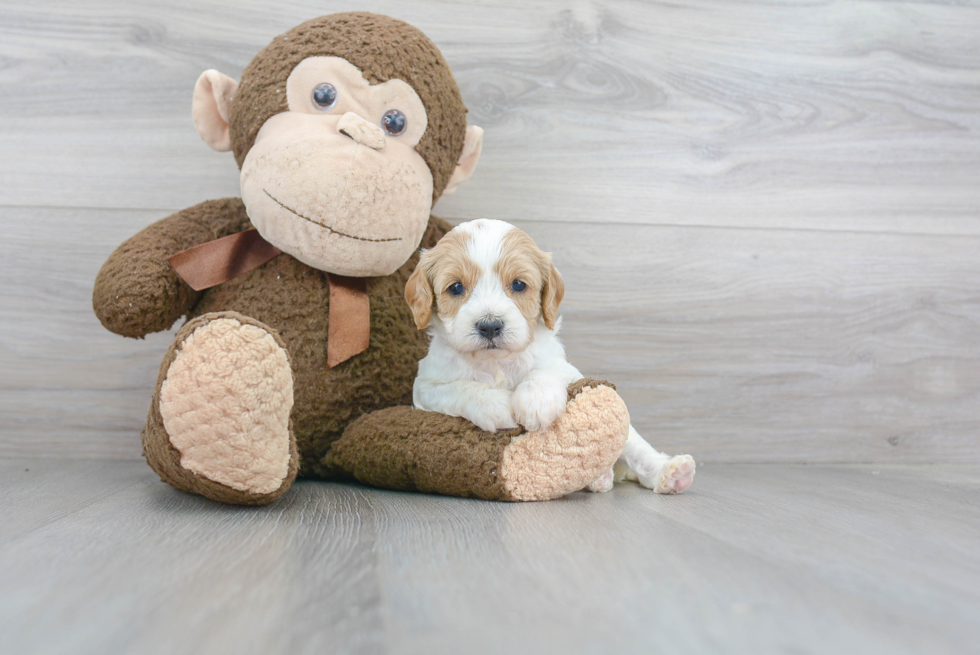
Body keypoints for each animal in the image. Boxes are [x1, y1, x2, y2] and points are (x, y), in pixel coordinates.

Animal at [406, 218, 696, 494]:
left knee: (636, 450)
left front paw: (536, 400)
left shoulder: (565, 367)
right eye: (456, 288)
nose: (489, 326)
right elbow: (460, 388)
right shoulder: (426, 386)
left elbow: (544, 370)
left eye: (518, 284)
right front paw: (495, 404)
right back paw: (601, 478)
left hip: (631, 441)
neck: (496, 362)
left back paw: (670, 473)